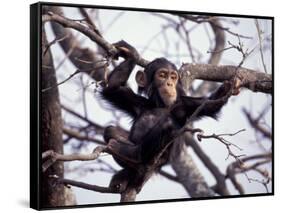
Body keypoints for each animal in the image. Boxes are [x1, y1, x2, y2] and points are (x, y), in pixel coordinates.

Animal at [100, 40, 236, 191]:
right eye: (162, 75)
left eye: (173, 77)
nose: (170, 83)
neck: (161, 105)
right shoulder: (135, 101)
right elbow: (112, 89)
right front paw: (131, 53)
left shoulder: (186, 105)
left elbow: (210, 105)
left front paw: (227, 88)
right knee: (110, 130)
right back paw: (124, 172)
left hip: (157, 161)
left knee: (166, 127)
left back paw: (132, 155)